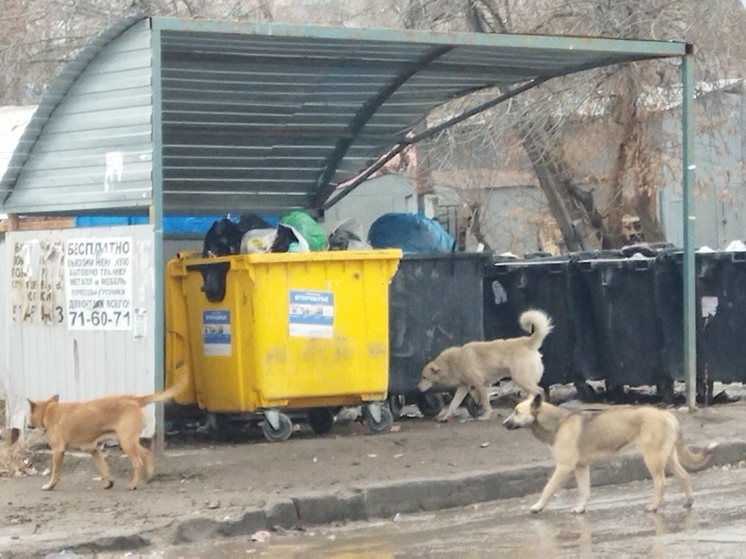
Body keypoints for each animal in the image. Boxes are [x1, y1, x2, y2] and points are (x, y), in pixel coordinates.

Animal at [416, 308, 548, 422]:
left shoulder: (480, 385)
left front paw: (485, 416)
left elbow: (485, 403)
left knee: (540, 391)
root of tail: (528, 342)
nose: (418, 388)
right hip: (524, 381)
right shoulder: (463, 387)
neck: (453, 361)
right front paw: (445, 417)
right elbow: (454, 404)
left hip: (522, 379)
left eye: (424, 377)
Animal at [502, 396, 712, 516]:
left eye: (517, 412)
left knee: (661, 483)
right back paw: (688, 501)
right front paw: (581, 508)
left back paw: (654, 506)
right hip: (667, 458)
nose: (503, 423)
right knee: (684, 476)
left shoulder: (564, 467)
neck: (558, 422)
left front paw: (537, 506)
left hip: (652, 458)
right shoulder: (580, 468)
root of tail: (668, 415)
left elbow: (548, 489)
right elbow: (584, 491)